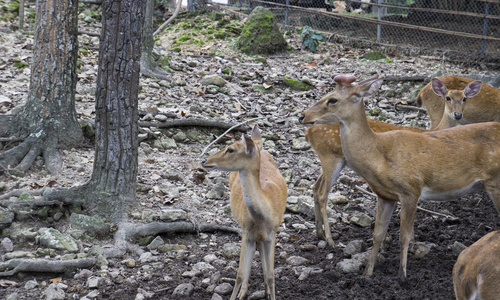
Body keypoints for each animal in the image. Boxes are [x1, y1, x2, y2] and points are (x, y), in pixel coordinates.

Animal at [200, 124, 286, 300]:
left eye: (230, 149)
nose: (205, 160)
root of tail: (261, 147)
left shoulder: (272, 233)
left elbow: (271, 275)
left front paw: (270, 292)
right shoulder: (247, 232)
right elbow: (240, 274)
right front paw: (237, 294)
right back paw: (245, 292)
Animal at [296, 73, 500, 278]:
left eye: (332, 99)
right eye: (448, 98)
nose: (302, 116)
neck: (379, 156)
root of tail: (308, 132)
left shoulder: (410, 189)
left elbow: (402, 236)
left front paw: (401, 274)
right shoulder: (385, 194)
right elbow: (378, 234)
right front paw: (368, 273)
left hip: (494, 180)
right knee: (319, 189)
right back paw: (325, 237)